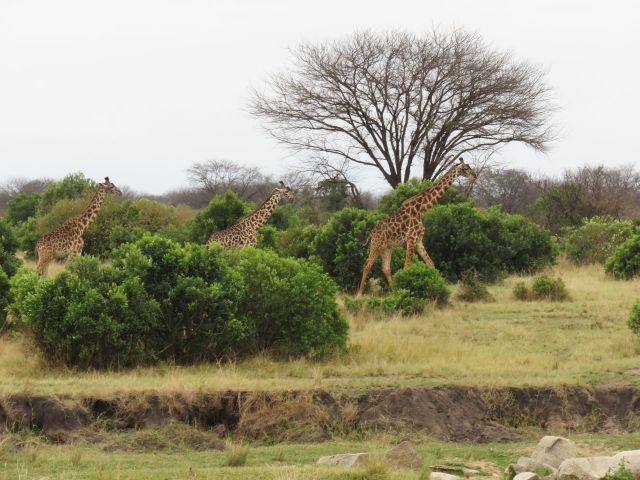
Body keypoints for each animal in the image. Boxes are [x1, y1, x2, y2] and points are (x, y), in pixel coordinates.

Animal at [357, 158, 477, 295]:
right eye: (465, 168)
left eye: (469, 167)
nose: (475, 176)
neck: (422, 210)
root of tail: (372, 233)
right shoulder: (411, 238)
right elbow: (407, 266)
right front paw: (406, 290)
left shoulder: (418, 240)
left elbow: (431, 263)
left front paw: (439, 287)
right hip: (377, 245)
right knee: (367, 265)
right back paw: (359, 294)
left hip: (387, 248)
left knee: (386, 268)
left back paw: (394, 291)